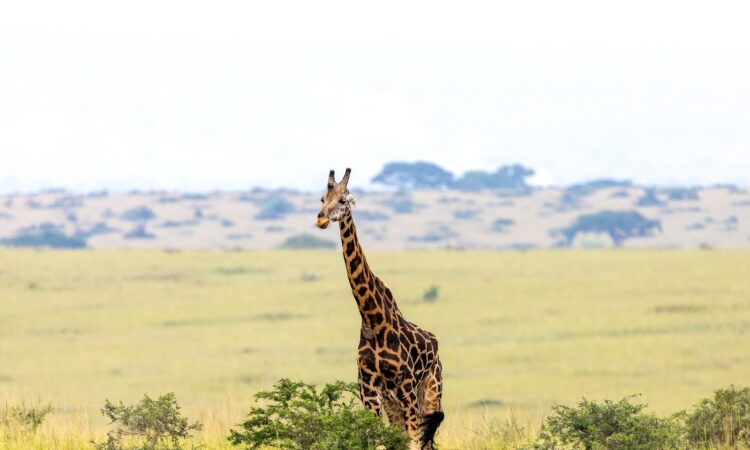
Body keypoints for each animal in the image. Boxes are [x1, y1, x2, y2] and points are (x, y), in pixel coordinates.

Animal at [315, 168, 444, 450]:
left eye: (342, 200)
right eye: (322, 198)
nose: (320, 219)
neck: (373, 320)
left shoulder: (406, 388)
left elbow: (413, 443)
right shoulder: (369, 391)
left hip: (430, 390)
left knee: (427, 440)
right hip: (393, 403)